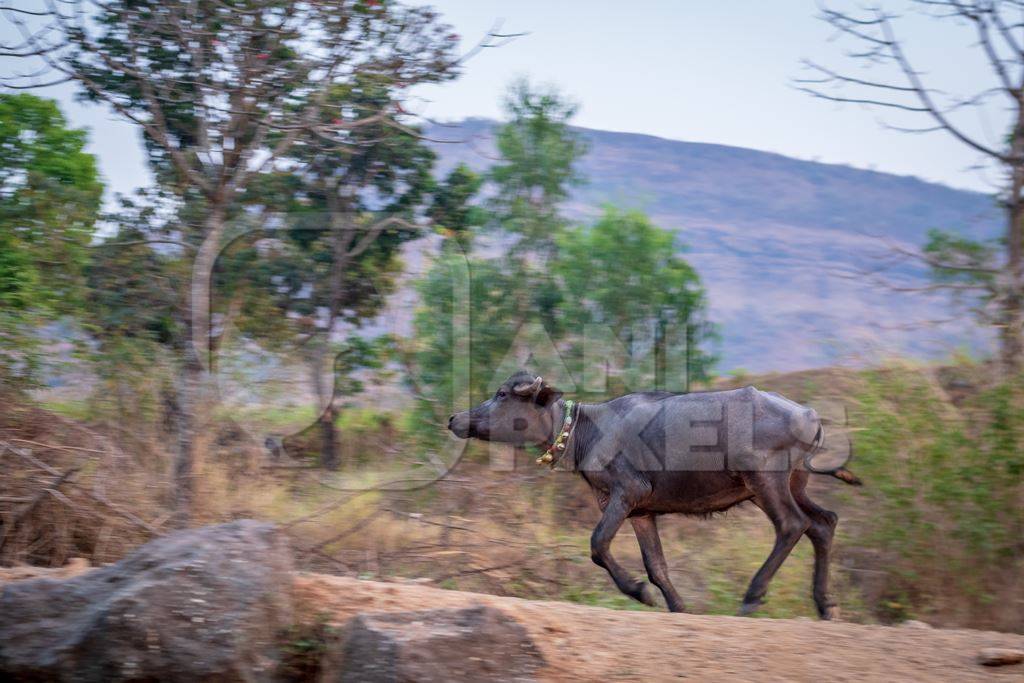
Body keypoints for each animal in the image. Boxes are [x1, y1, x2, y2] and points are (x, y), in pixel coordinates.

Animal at [452, 370, 860, 622]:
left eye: (502, 394)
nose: (456, 419)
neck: (588, 429)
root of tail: (810, 416)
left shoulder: (626, 494)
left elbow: (598, 545)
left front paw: (640, 593)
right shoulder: (640, 512)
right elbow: (657, 565)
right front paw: (678, 607)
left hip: (766, 482)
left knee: (792, 525)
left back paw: (752, 597)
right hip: (789, 486)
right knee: (823, 524)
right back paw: (826, 605)